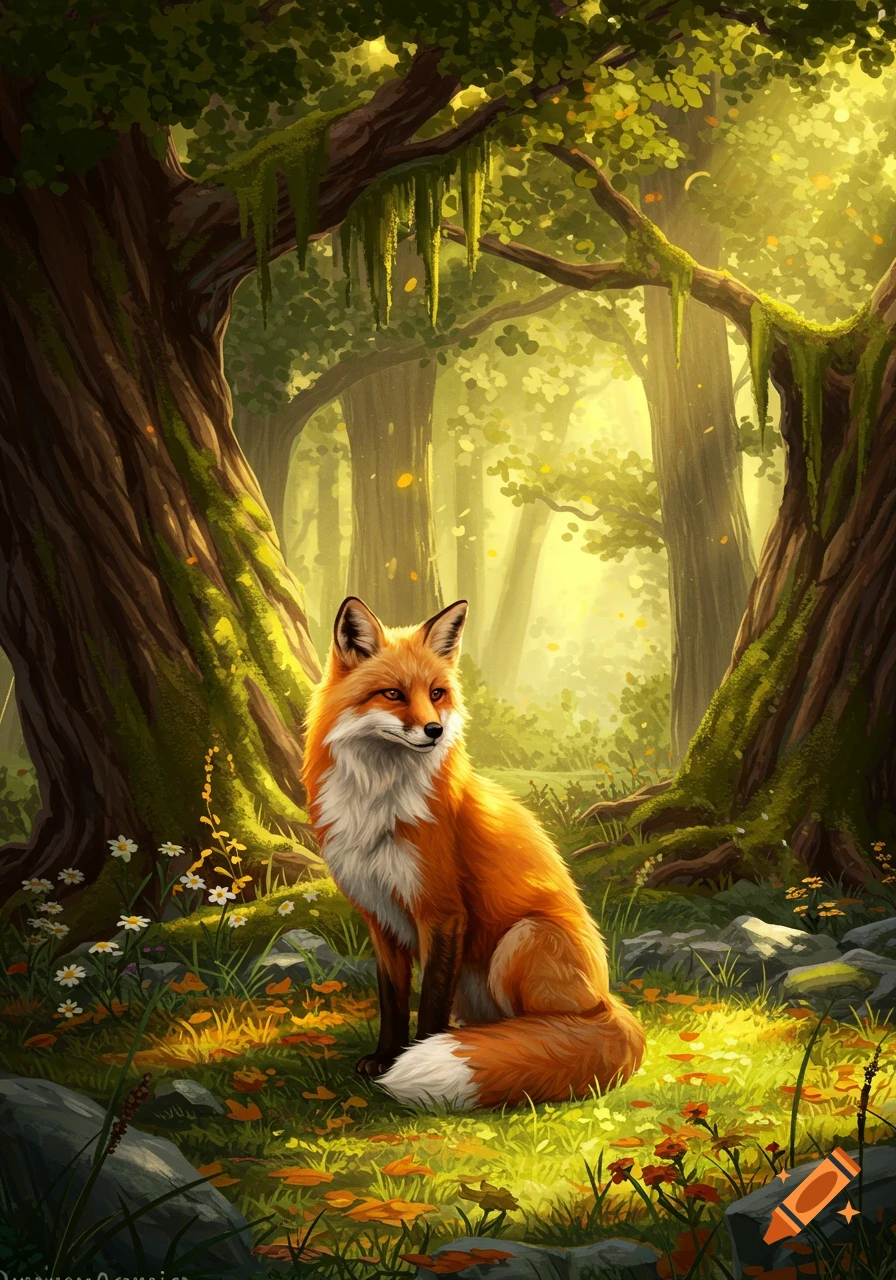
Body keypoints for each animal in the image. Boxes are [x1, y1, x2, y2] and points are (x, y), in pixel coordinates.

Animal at [301, 596, 646, 1110]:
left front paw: (412, 1060)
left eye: (437, 693)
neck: (378, 805)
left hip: (524, 938)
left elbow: (429, 1005)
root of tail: (608, 1001)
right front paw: (385, 1058)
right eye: (393, 694)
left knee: (546, 1030)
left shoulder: (442, 911)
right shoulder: (379, 914)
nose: (434, 731)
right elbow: (392, 1000)